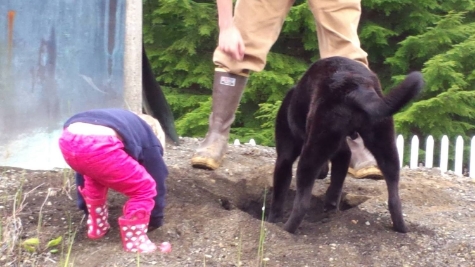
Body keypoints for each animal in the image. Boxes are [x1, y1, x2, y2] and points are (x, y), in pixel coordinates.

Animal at [268, 56, 424, 234]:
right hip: (386, 147)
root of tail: (357, 86)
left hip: (311, 153)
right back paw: (401, 227)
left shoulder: (284, 157)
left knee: (302, 202)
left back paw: (287, 229)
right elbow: (337, 181)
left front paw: (272, 220)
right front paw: (331, 205)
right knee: (394, 197)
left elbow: (279, 193)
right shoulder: (342, 153)